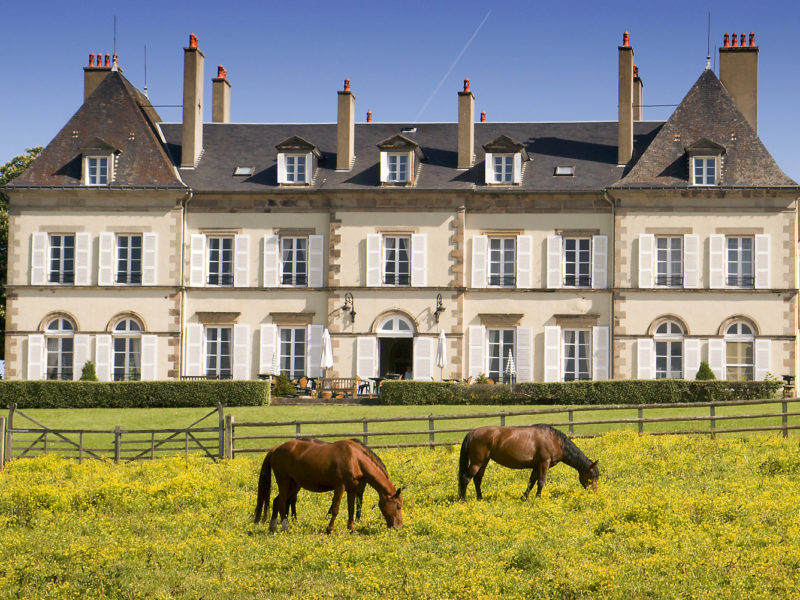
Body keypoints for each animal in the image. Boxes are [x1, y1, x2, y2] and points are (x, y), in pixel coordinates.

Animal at [256, 438, 404, 532]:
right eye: (397, 506)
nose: (398, 527)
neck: (355, 458)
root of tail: (276, 449)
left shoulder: (352, 489)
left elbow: (350, 509)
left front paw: (352, 529)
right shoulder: (340, 487)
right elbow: (335, 509)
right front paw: (330, 529)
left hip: (294, 484)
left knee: (276, 501)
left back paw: (273, 528)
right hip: (285, 482)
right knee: (281, 502)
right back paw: (285, 528)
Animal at [460, 424, 596, 504]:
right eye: (592, 476)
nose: (594, 493)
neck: (554, 440)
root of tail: (472, 433)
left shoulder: (536, 466)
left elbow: (531, 482)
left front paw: (524, 498)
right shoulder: (544, 463)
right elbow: (541, 482)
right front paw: (538, 498)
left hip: (484, 461)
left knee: (477, 479)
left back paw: (480, 498)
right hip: (477, 462)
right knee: (466, 478)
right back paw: (463, 500)